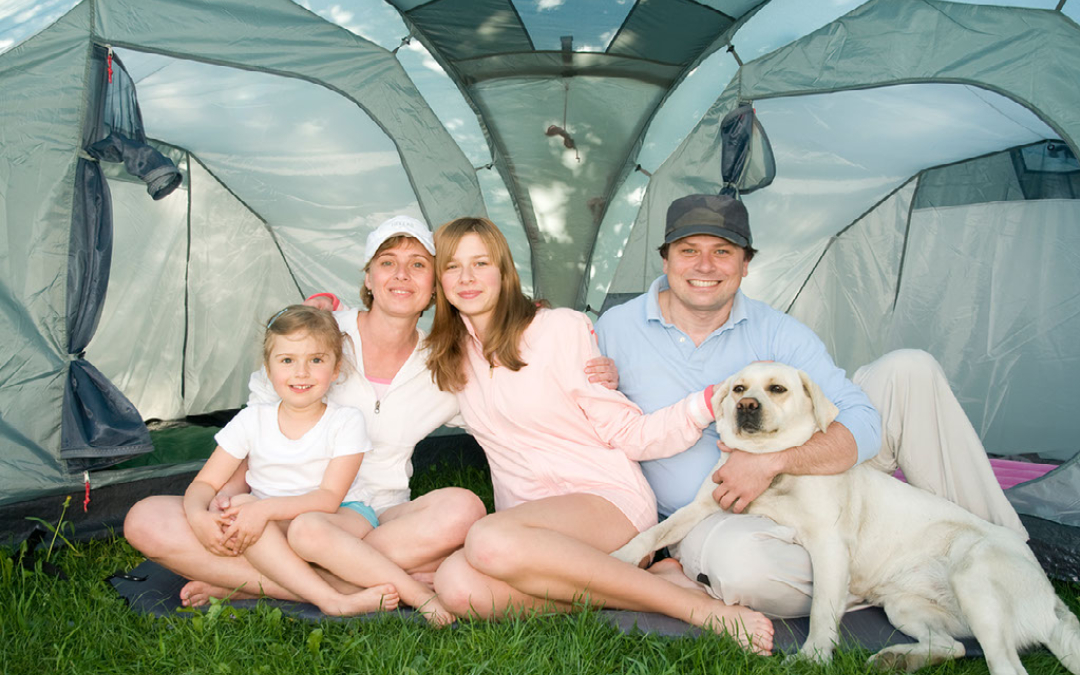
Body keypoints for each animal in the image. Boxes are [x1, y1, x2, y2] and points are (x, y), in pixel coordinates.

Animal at [617, 362, 1080, 673]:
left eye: (777, 388)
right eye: (738, 388)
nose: (746, 405)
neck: (771, 470)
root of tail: (1053, 599)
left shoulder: (828, 546)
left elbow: (822, 607)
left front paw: (814, 656)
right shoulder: (701, 507)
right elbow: (654, 532)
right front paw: (622, 557)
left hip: (974, 578)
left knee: (1005, 665)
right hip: (905, 606)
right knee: (954, 647)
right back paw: (897, 659)